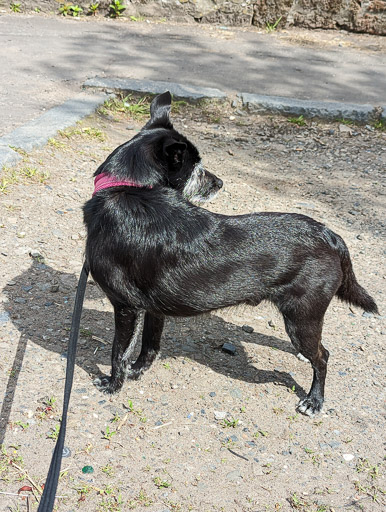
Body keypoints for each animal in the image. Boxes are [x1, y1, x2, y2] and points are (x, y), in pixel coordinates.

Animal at [83, 93, 376, 416]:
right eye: (196, 168)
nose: (220, 183)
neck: (126, 187)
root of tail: (330, 235)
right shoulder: (151, 309)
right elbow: (149, 345)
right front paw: (137, 372)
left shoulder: (126, 307)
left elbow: (118, 352)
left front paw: (113, 384)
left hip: (301, 318)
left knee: (323, 357)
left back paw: (314, 400)